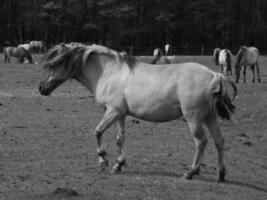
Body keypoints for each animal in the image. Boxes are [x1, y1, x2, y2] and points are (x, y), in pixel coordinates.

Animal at [38, 44, 238, 183]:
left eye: (54, 64)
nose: (41, 88)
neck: (109, 71)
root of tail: (214, 75)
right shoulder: (120, 114)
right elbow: (120, 138)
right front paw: (118, 165)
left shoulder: (112, 111)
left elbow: (98, 131)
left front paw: (103, 160)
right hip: (210, 118)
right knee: (219, 142)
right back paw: (221, 175)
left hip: (194, 119)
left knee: (201, 142)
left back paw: (190, 172)